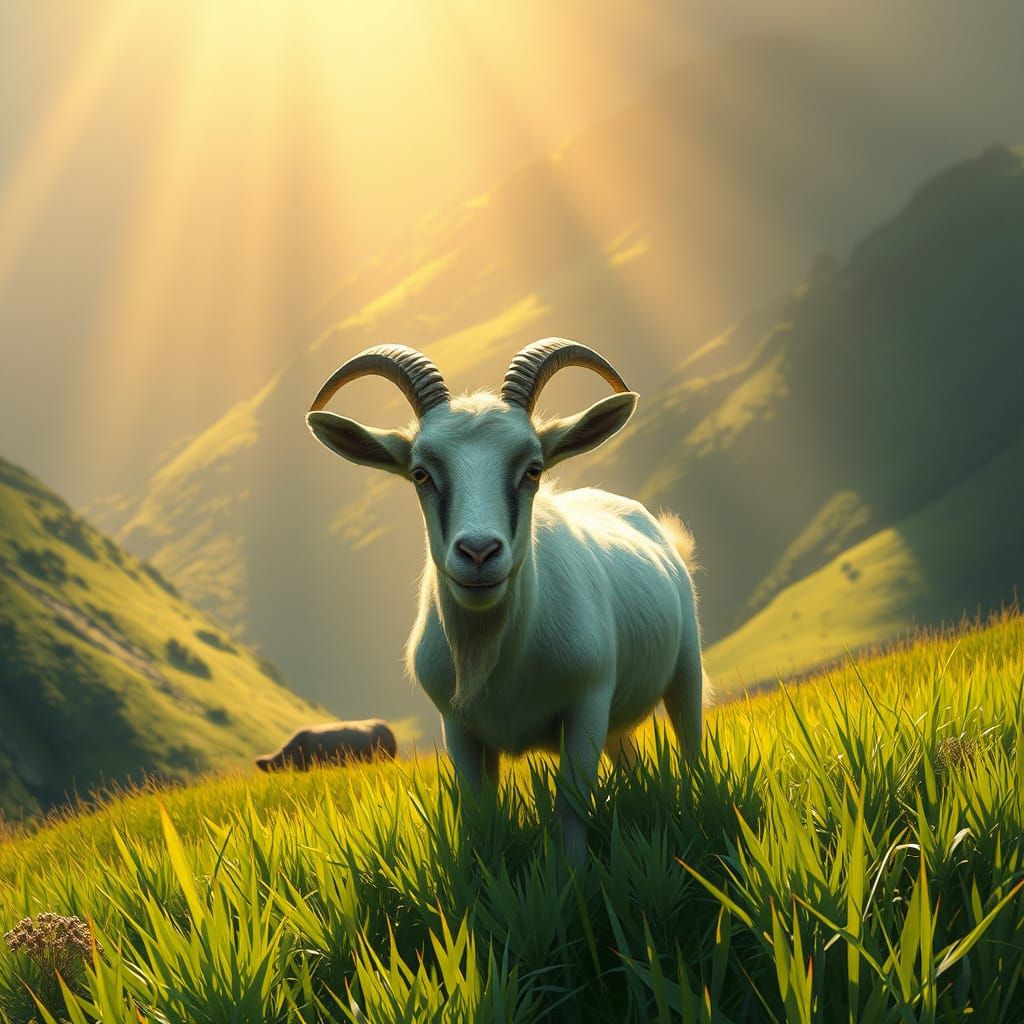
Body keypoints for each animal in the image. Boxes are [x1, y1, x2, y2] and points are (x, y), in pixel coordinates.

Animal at [306, 339, 704, 864]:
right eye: (420, 473)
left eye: (533, 469)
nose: (479, 552)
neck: (495, 656)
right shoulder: (459, 728)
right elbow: (480, 816)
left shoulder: (586, 705)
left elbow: (571, 809)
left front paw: (573, 878)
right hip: (617, 720)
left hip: (685, 671)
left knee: (691, 741)